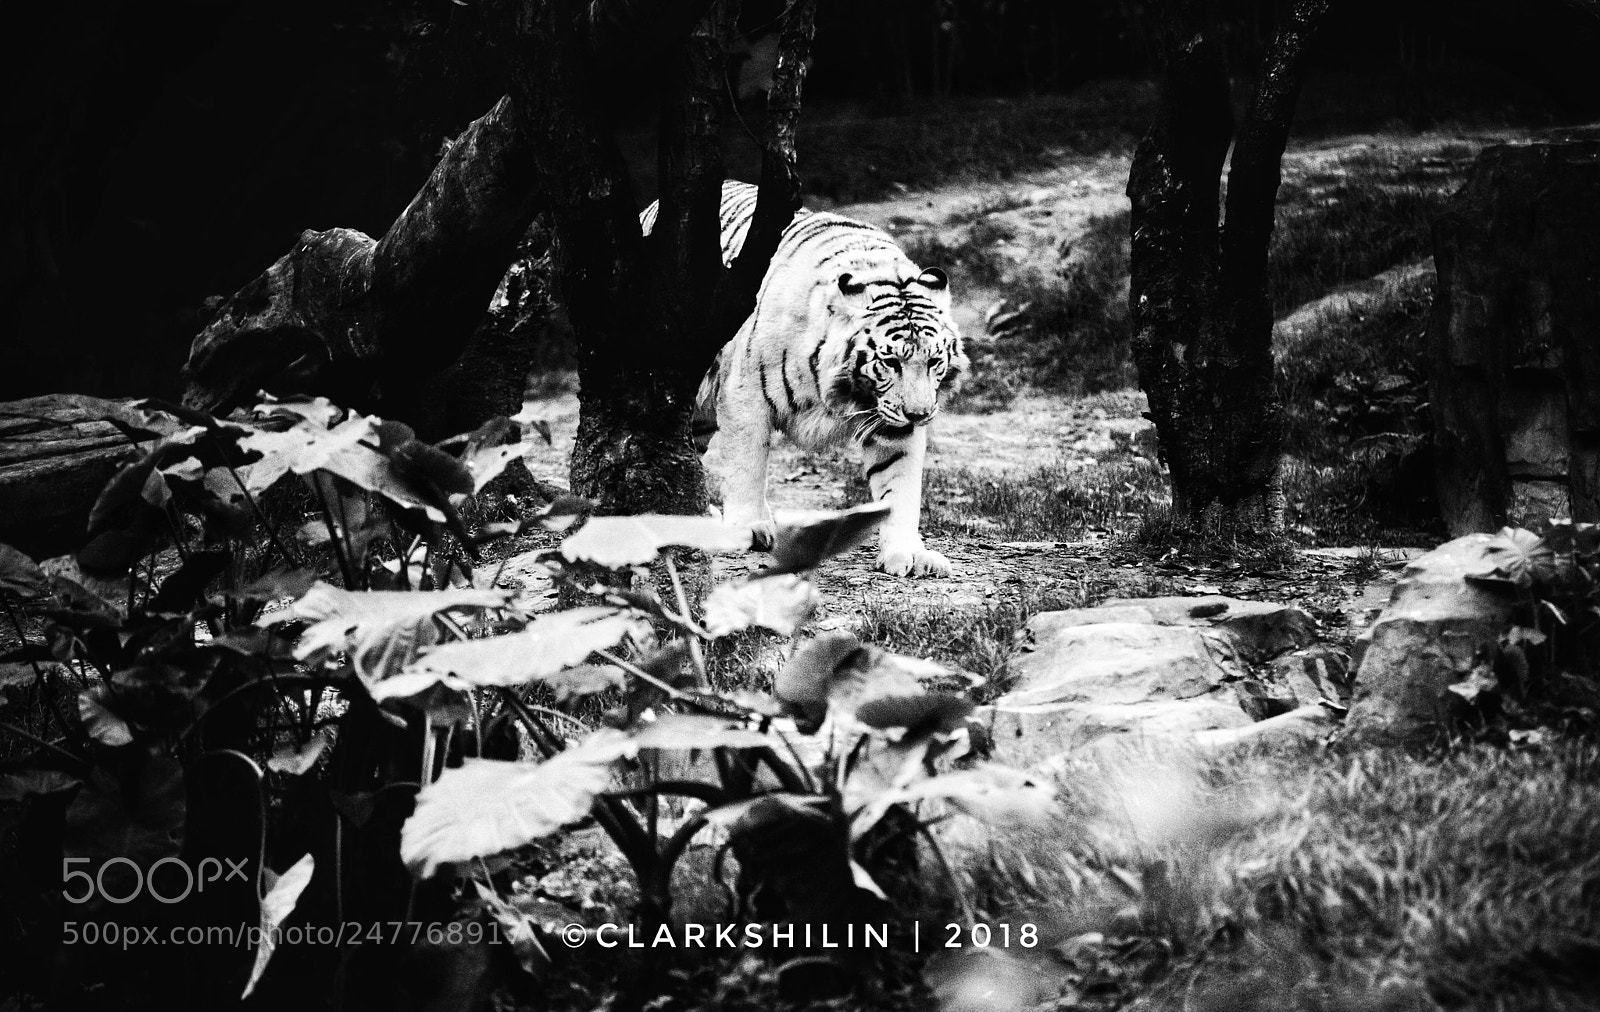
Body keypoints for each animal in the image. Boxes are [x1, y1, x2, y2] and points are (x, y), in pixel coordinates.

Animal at [641, 180, 968, 577]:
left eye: (934, 361)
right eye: (890, 362)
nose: (919, 415)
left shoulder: (893, 425)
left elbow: (899, 486)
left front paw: (908, 553)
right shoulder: (746, 396)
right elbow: (747, 465)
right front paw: (747, 528)